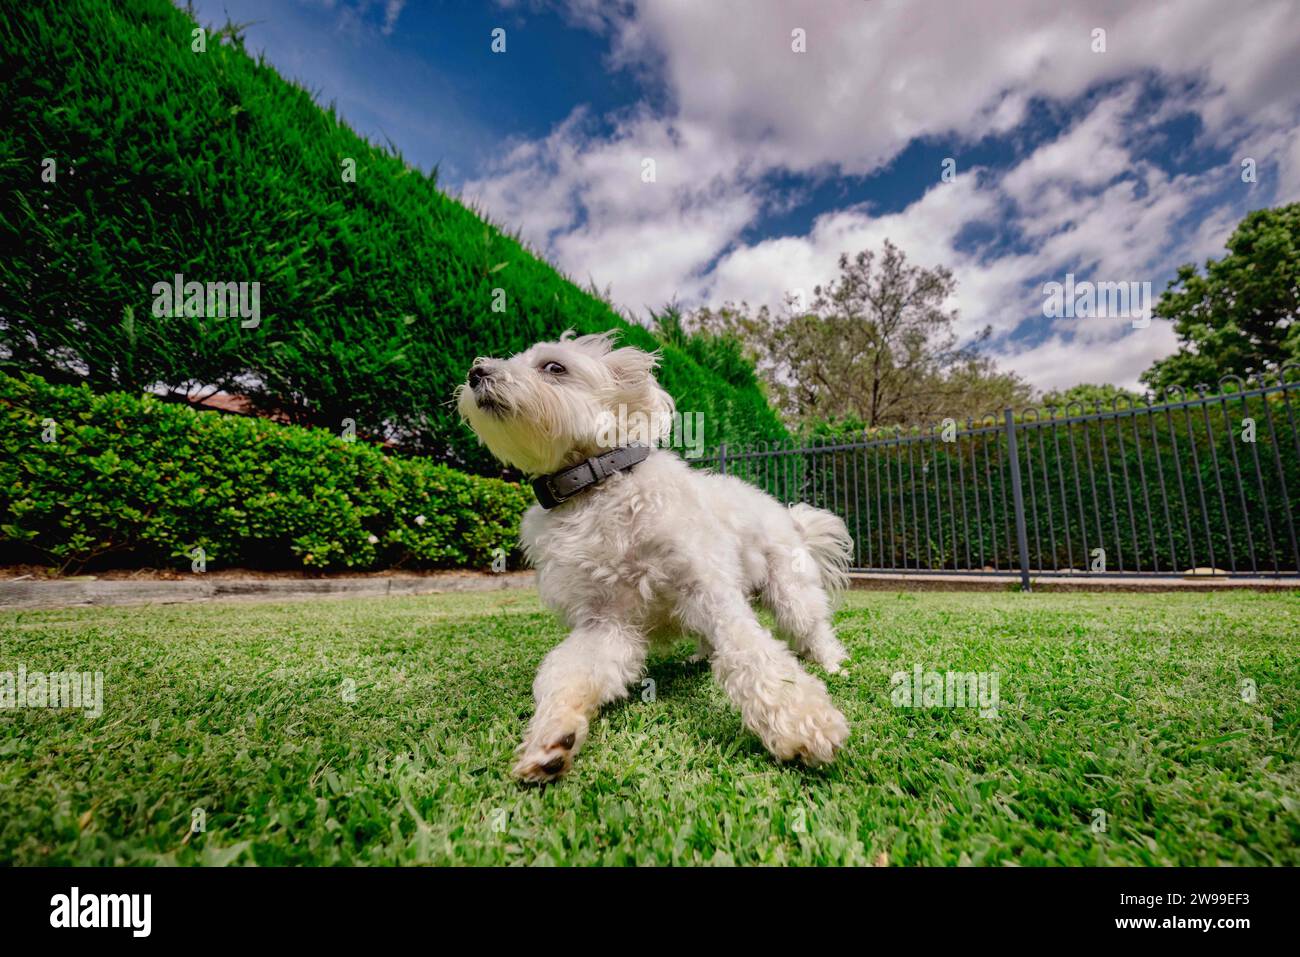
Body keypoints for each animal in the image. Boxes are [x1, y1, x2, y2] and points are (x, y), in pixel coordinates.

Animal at [457, 332, 852, 780]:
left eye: (554, 367)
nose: (475, 372)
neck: (594, 490)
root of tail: (788, 515)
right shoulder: (606, 623)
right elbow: (567, 672)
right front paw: (552, 736)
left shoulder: (711, 592)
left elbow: (756, 656)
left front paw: (803, 723)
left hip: (790, 591)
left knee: (812, 628)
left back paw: (832, 662)